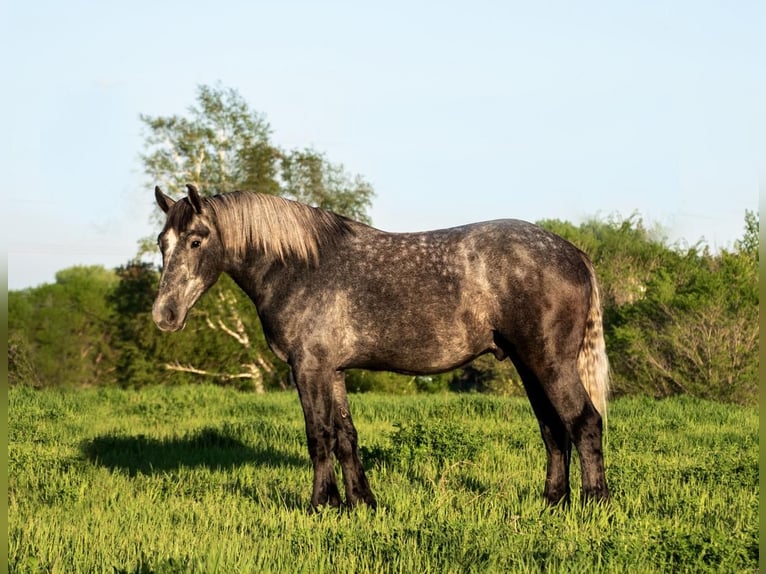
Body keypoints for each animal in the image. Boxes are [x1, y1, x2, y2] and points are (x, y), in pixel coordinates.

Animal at [154, 183, 612, 508]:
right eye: (162, 242)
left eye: (196, 240)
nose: (164, 315)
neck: (300, 268)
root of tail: (573, 253)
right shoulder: (334, 371)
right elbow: (345, 436)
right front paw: (361, 502)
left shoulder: (308, 368)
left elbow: (318, 435)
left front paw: (321, 504)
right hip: (528, 364)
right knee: (553, 429)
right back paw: (552, 502)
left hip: (550, 363)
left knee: (584, 422)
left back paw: (594, 504)